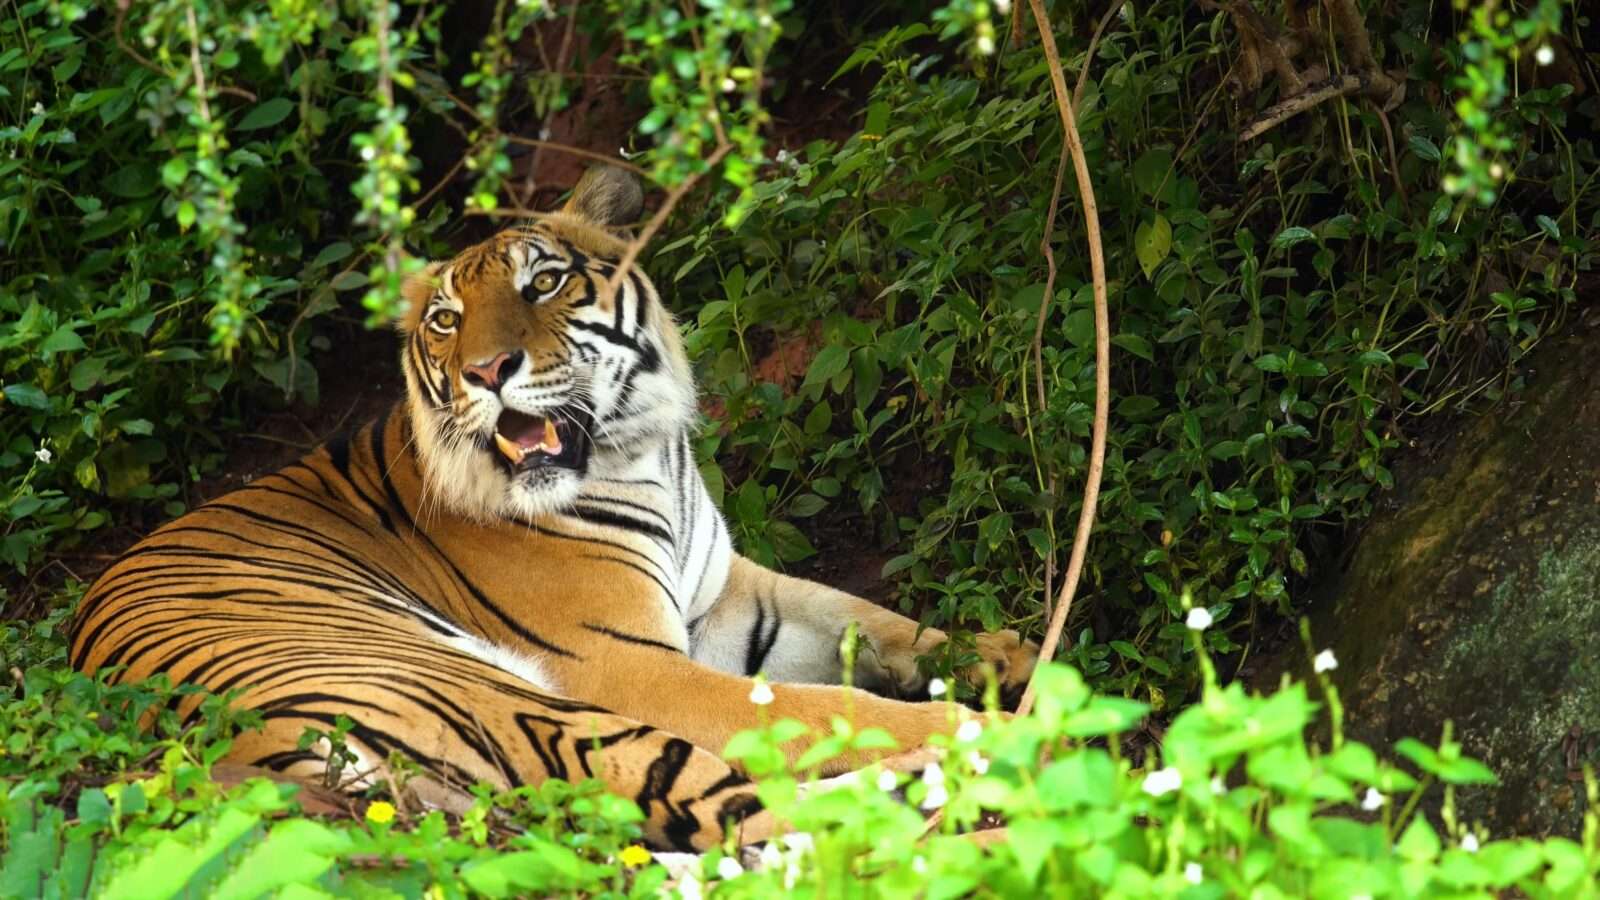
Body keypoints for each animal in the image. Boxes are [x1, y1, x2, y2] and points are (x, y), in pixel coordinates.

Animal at [72, 166, 1036, 845]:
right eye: (445, 321)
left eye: (541, 284)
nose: (485, 371)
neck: (642, 455)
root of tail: (244, 753)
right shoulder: (632, 663)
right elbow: (825, 706)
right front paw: (978, 704)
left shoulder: (726, 597)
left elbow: (866, 617)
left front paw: (1001, 653)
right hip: (508, 697)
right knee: (745, 812)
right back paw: (977, 748)